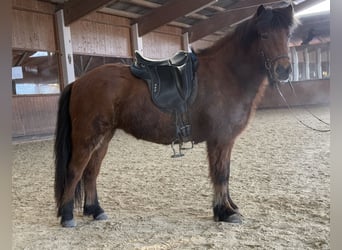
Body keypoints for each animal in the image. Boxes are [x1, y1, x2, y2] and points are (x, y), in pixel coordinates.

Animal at [54, 4, 296, 227]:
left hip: (103, 137)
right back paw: (67, 216)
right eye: (264, 35)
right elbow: (220, 174)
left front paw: (229, 207)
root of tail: (79, 81)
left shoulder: (224, 141)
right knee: (75, 171)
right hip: (87, 137)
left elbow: (225, 173)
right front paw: (225, 212)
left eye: (287, 35)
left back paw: (95, 210)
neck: (227, 73)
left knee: (91, 172)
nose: (283, 70)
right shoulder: (220, 139)